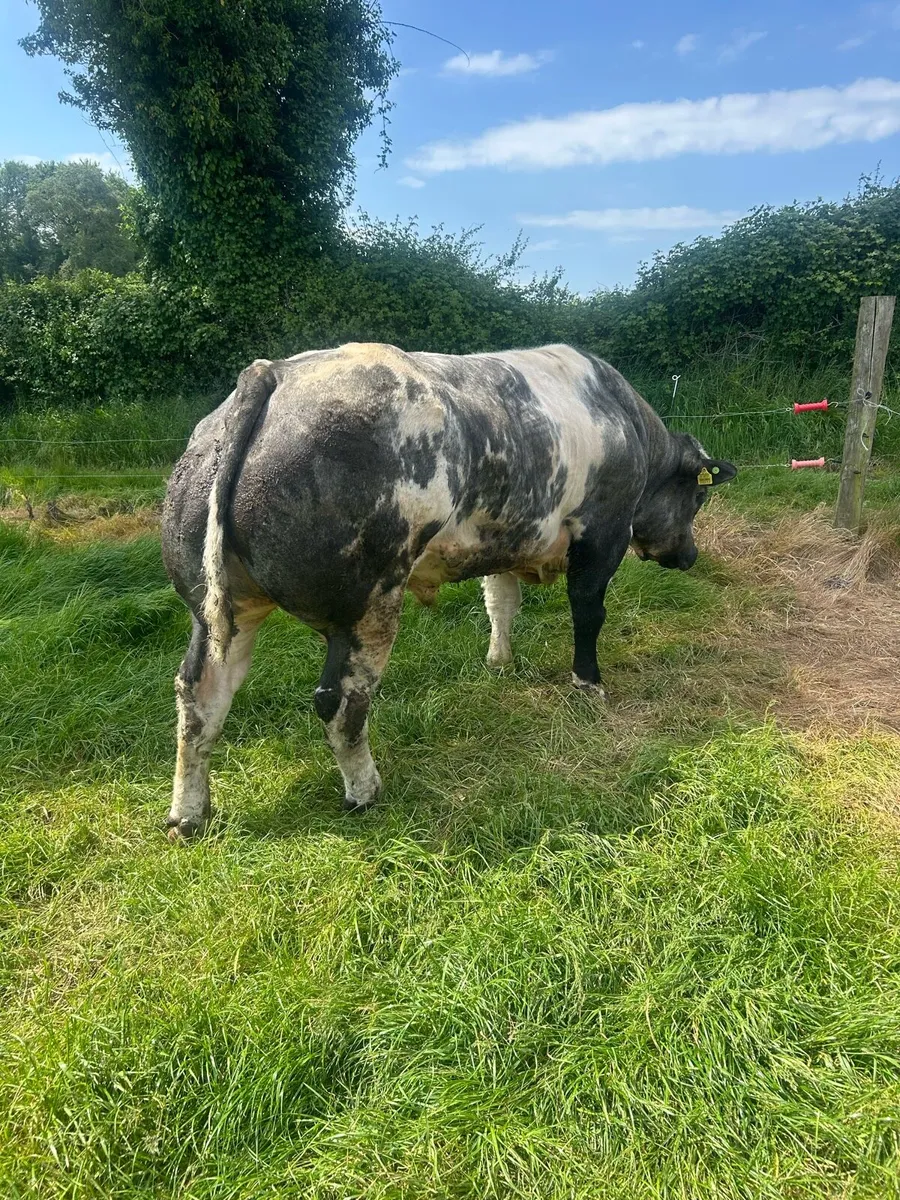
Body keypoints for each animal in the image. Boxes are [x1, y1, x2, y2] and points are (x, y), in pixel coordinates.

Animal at [161, 343, 736, 839]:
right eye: (697, 498)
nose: (690, 557)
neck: (626, 421)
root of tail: (274, 373)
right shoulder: (602, 533)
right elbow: (588, 612)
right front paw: (588, 683)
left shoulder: (503, 539)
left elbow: (500, 603)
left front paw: (499, 661)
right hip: (367, 604)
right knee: (340, 700)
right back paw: (364, 790)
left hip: (218, 608)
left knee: (199, 694)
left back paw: (189, 814)